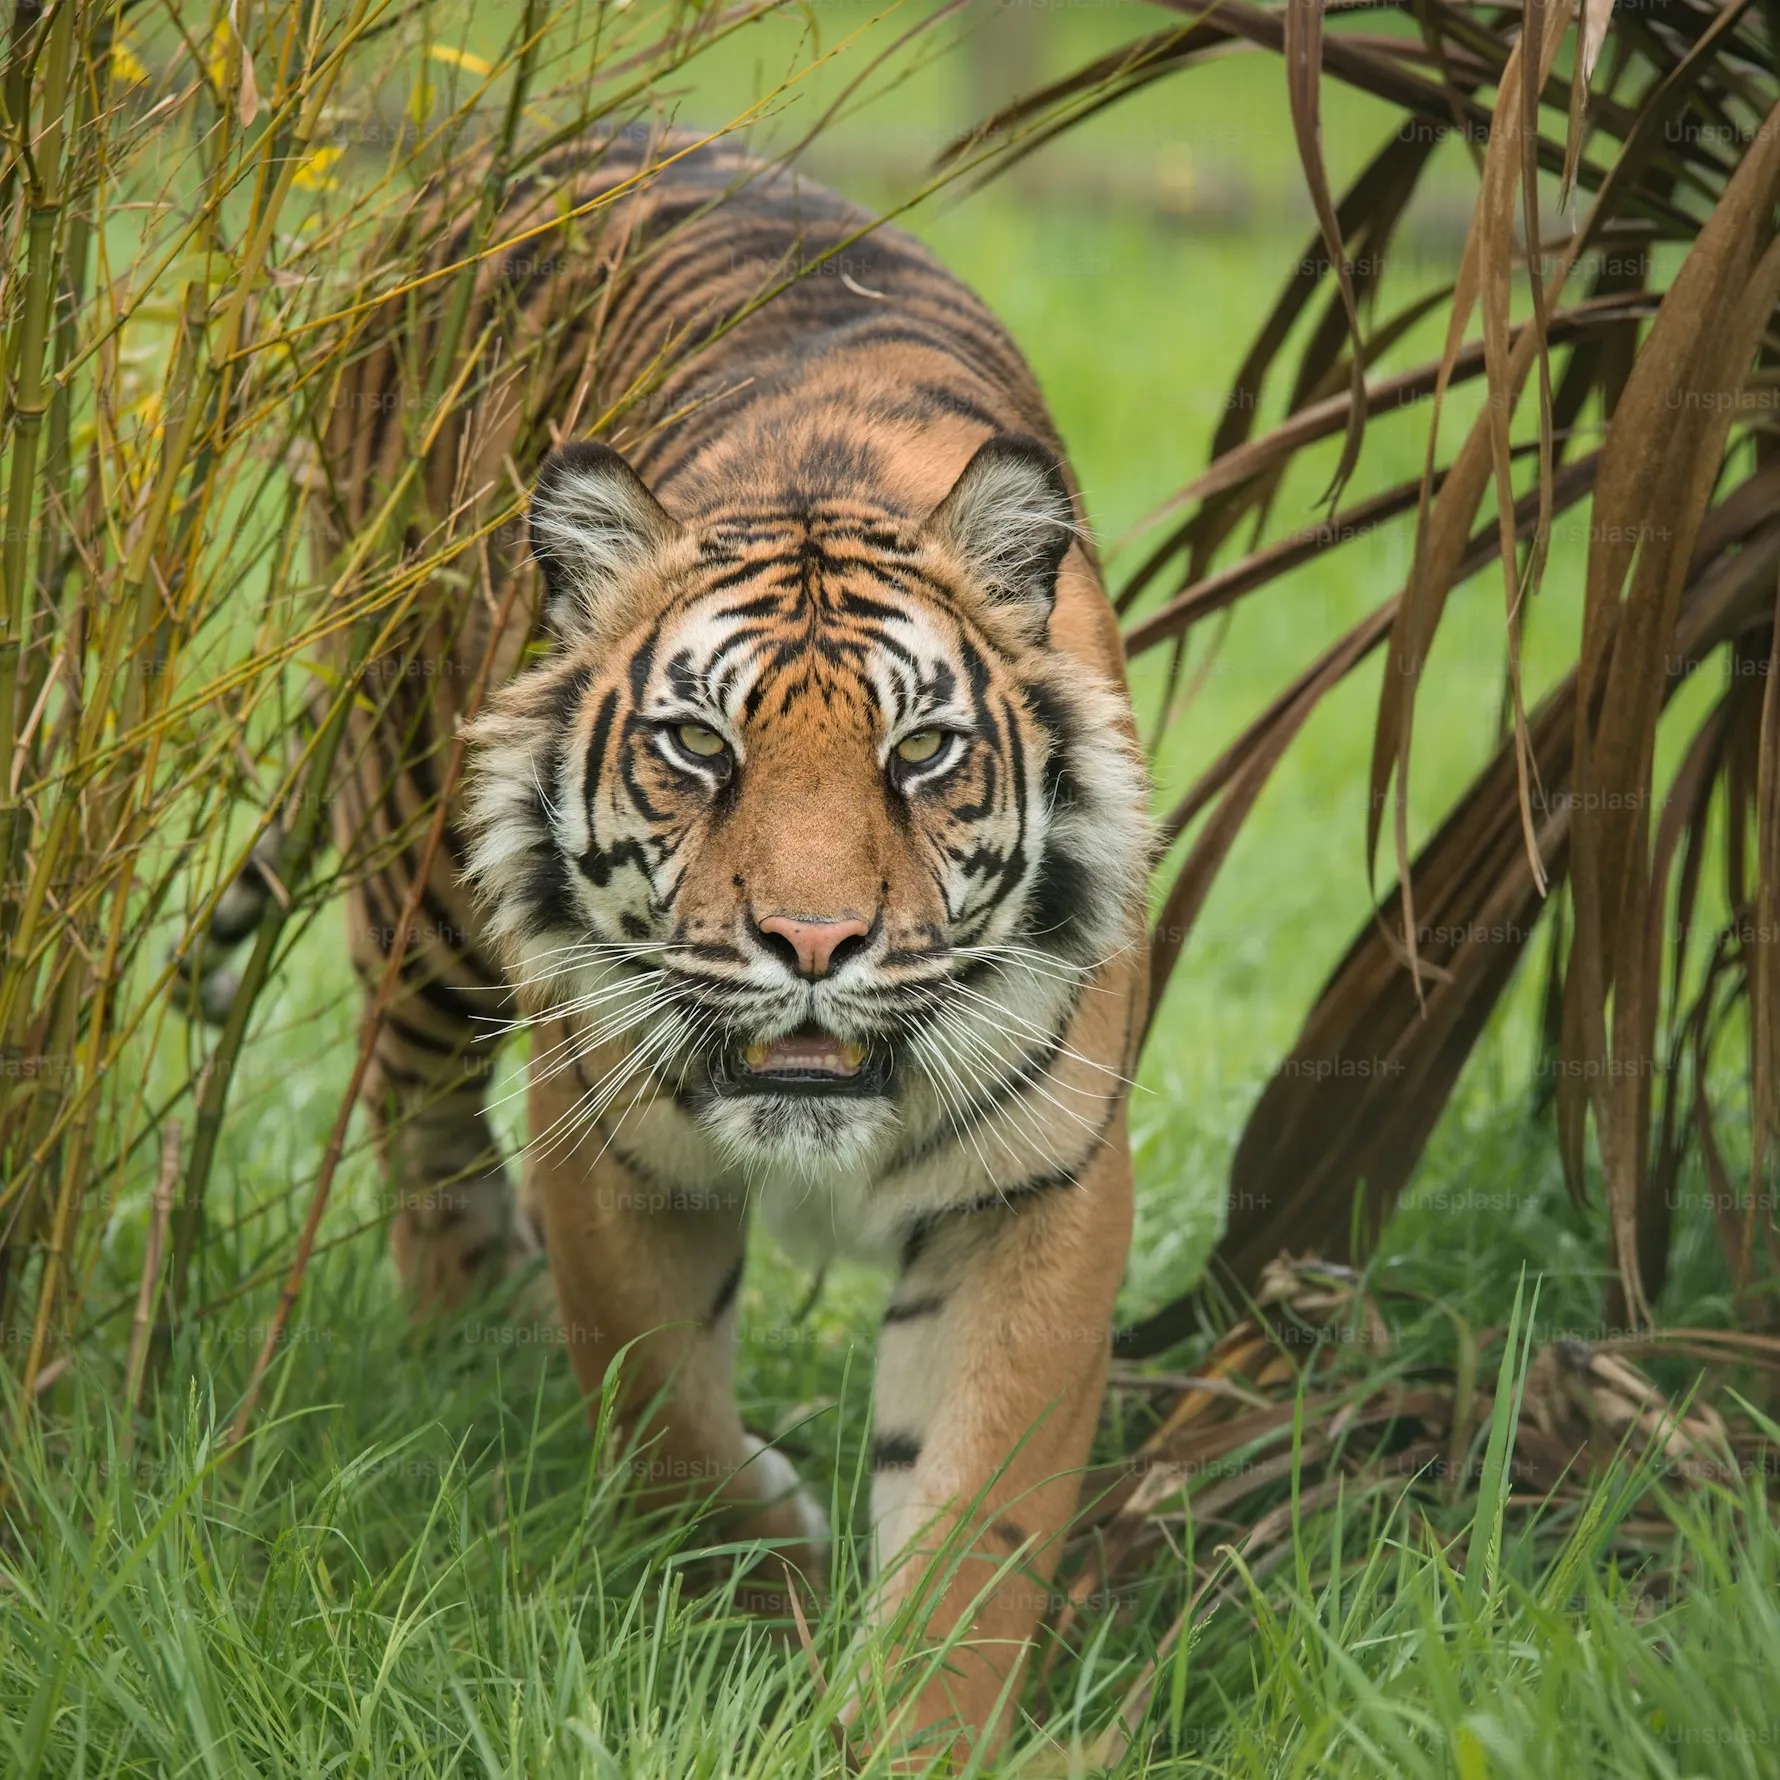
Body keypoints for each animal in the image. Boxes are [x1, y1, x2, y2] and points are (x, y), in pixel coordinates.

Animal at [208, 131, 1153, 1758]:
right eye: (698, 745)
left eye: (920, 752)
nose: (815, 939)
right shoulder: (610, 1140)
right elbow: (658, 1407)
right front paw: (767, 1579)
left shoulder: (1037, 1186)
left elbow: (975, 1525)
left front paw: (909, 1735)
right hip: (414, 840)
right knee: (416, 1113)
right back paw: (477, 1331)